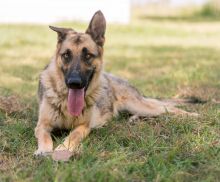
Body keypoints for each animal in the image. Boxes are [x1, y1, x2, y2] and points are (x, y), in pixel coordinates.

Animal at [34, 10, 198, 161]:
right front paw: (44, 150)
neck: (65, 103)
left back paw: (191, 115)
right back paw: (134, 119)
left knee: (168, 109)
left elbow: (73, 135)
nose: (74, 83)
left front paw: (63, 148)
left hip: (139, 105)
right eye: (66, 55)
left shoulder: (84, 126)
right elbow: (45, 137)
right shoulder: (41, 125)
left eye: (88, 56)